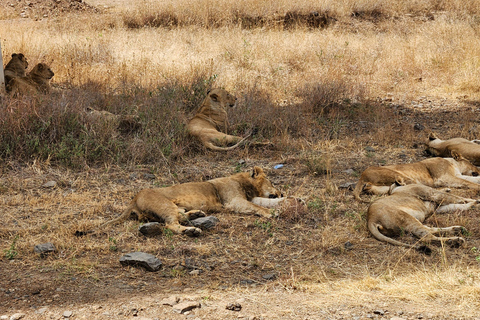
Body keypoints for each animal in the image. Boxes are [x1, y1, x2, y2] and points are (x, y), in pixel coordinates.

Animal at [101, 166, 288, 236]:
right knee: (171, 224)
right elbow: (255, 206)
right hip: (164, 204)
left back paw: (196, 214)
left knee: (179, 216)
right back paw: (191, 230)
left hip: (172, 207)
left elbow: (258, 202)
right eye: (272, 182)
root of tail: (134, 199)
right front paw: (271, 212)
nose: (281, 192)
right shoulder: (233, 200)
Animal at [352, 152, 480, 201]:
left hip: (381, 187)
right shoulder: (444, 178)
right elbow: (468, 182)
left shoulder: (456, 175)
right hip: (398, 174)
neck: (454, 164)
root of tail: (362, 175)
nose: (478, 169)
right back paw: (446, 190)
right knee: (421, 188)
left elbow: (472, 179)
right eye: (471, 162)